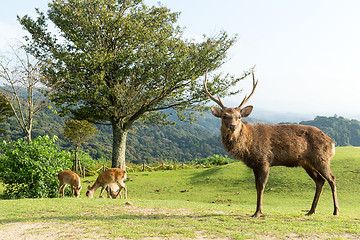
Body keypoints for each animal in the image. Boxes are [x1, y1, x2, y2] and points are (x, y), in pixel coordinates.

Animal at [204, 70, 338, 218]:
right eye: (224, 116)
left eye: (239, 117)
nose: (232, 126)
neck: (248, 147)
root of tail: (332, 143)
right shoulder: (254, 165)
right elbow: (256, 186)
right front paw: (257, 210)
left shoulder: (264, 160)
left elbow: (262, 186)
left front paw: (258, 212)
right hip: (306, 162)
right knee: (320, 180)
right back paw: (311, 211)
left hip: (321, 158)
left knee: (332, 178)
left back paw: (335, 210)